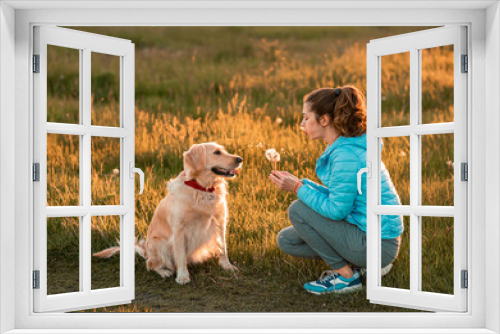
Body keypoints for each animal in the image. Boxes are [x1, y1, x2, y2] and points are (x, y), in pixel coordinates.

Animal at [94, 142, 244, 286]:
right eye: (217, 152)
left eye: (223, 150)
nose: (240, 159)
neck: (202, 189)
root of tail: (146, 252)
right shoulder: (179, 229)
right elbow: (181, 256)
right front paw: (182, 276)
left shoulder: (220, 221)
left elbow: (222, 248)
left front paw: (227, 266)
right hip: (159, 244)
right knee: (151, 265)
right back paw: (165, 272)